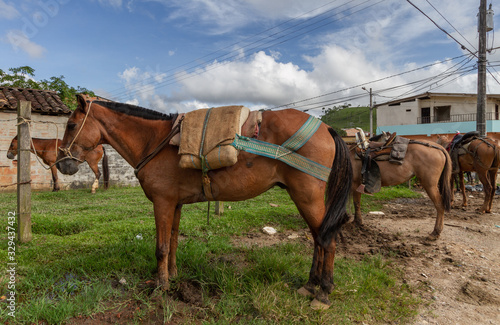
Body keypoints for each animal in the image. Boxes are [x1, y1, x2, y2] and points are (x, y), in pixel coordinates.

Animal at [55, 94, 352, 308]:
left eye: (71, 125)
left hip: (307, 196)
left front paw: (160, 287)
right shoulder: (174, 204)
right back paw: (310, 285)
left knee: (328, 241)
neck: (155, 141)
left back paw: (323, 293)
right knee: (318, 238)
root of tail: (326, 128)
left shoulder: (162, 202)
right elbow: (173, 242)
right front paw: (173, 276)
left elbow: (161, 247)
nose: (62, 164)